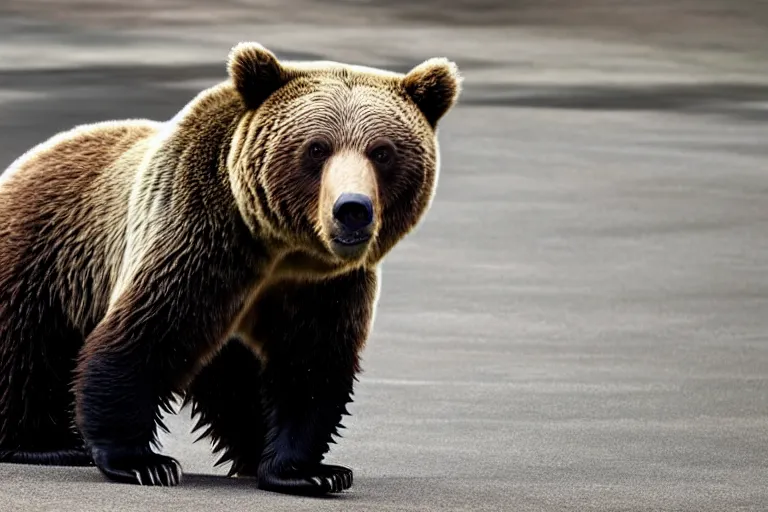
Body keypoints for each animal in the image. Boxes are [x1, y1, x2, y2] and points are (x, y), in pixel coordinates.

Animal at [0, 42, 460, 494]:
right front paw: (143, 462)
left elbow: (311, 365)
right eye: (316, 148)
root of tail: (27, 159)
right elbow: (145, 336)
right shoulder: (195, 238)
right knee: (24, 350)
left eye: (382, 152)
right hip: (42, 257)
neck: (280, 249)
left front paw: (308, 471)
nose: (352, 209)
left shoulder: (323, 286)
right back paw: (46, 444)